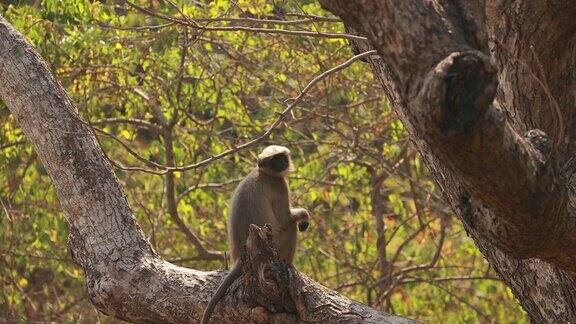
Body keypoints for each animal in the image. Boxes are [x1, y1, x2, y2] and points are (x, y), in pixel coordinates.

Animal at [201, 146, 310, 324]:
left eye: (281, 157)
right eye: (274, 160)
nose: (282, 162)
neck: (263, 172)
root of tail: (240, 256)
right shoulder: (279, 185)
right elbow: (286, 219)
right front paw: (304, 217)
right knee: (290, 228)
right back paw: (286, 264)